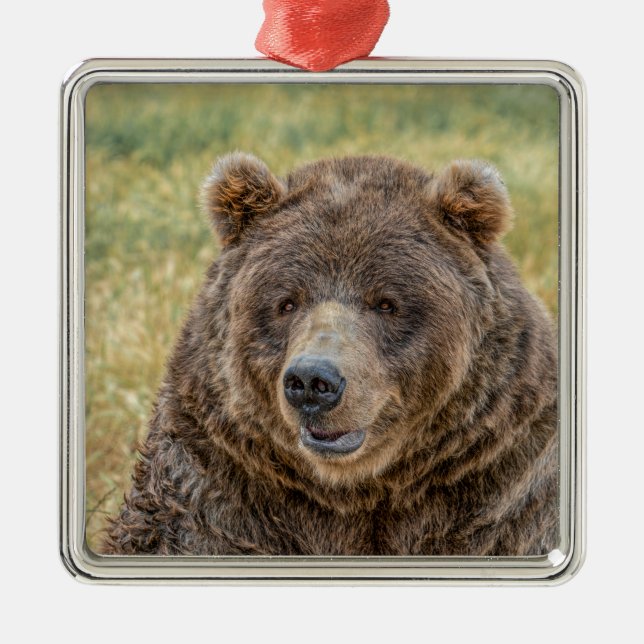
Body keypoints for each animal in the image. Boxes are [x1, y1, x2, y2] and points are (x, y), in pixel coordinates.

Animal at [102, 153, 558, 557]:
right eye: (286, 302)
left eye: (386, 302)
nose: (312, 382)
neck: (351, 490)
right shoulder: (215, 480)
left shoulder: (504, 487)